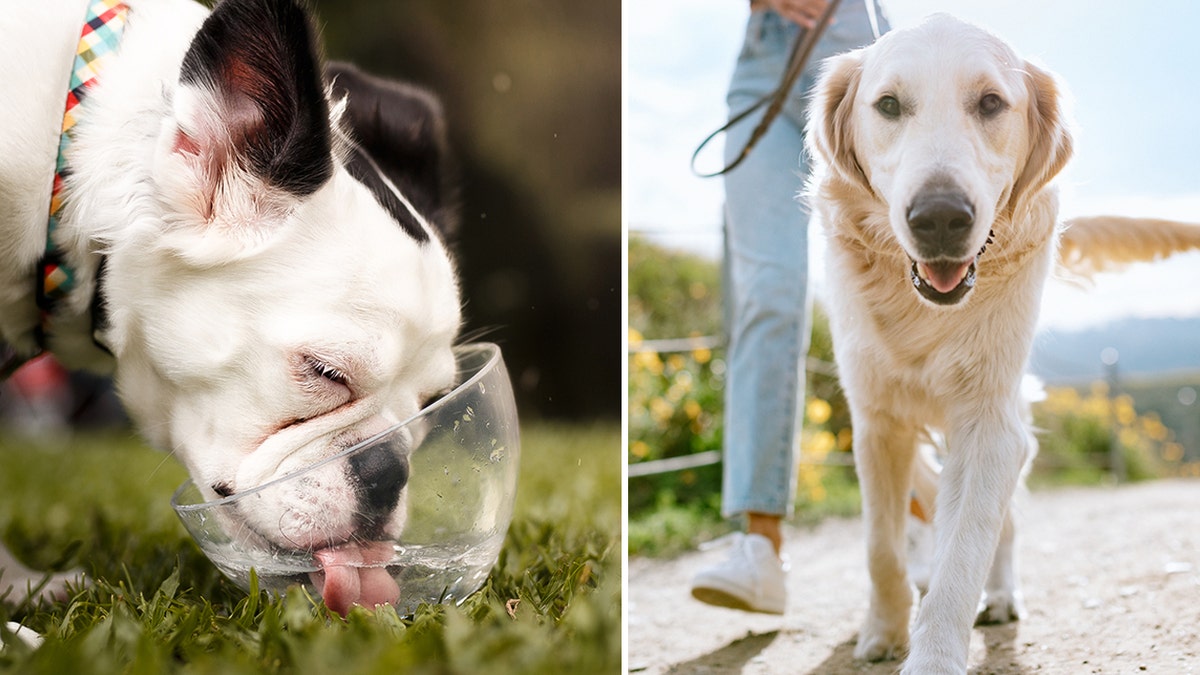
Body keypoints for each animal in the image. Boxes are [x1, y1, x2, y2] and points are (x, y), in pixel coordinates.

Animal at [806, 13, 1200, 667]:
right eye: (888, 105)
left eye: (990, 103)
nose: (940, 218)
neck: (923, 310)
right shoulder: (876, 421)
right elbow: (880, 547)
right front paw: (884, 630)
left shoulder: (991, 423)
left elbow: (964, 552)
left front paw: (933, 656)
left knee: (1003, 524)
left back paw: (1000, 595)